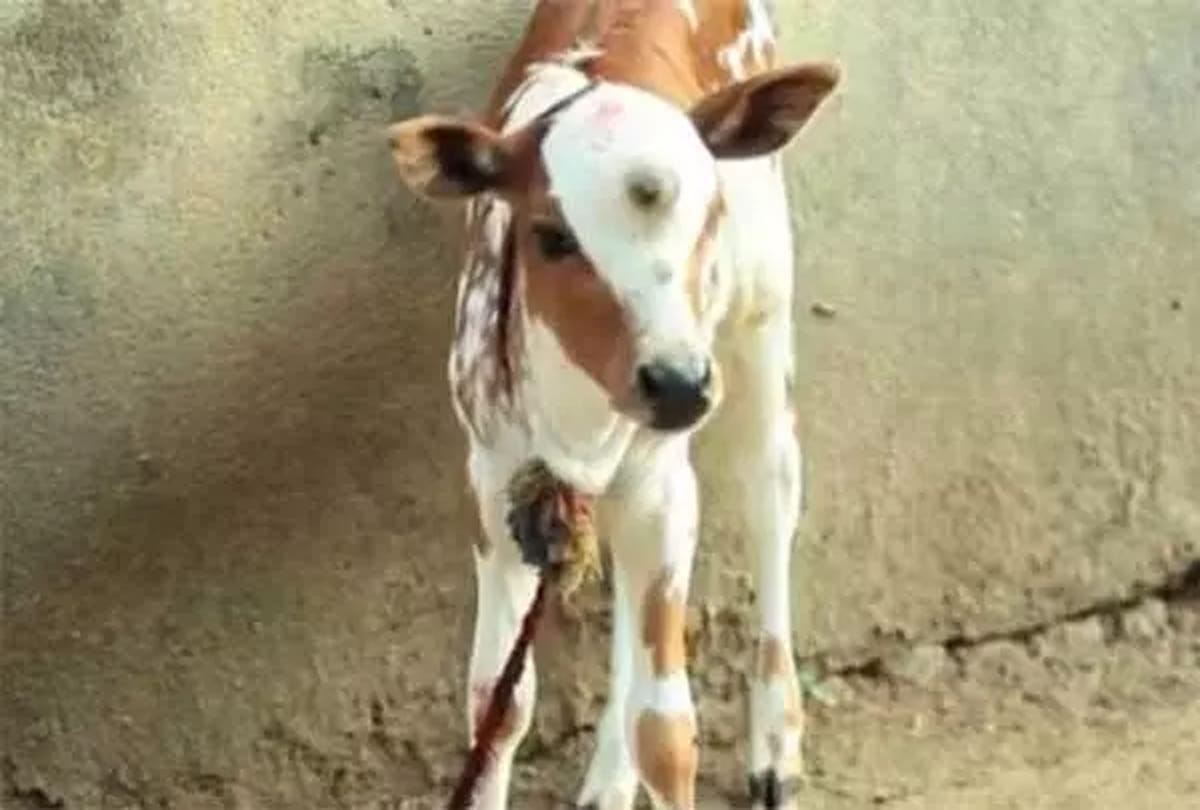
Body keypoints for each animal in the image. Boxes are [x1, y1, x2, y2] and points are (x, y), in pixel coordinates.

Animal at [386, 1, 840, 808]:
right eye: (550, 235)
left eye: (710, 214)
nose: (678, 382)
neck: (582, 419)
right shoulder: (491, 480)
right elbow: (497, 703)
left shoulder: (663, 479)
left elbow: (668, 730)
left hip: (762, 307)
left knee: (771, 487)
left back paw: (774, 744)